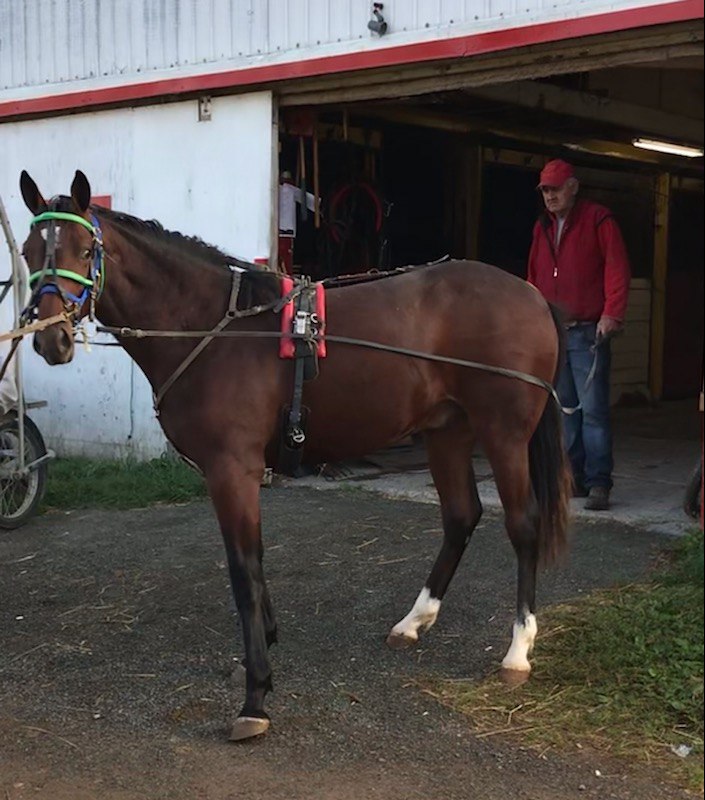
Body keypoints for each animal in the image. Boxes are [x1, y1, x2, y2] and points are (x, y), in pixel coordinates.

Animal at [19, 169, 571, 742]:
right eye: (28, 251)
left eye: (86, 250)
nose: (51, 339)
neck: (215, 328)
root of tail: (531, 295)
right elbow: (256, 561)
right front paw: (263, 647)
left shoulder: (232, 469)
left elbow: (243, 569)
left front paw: (256, 696)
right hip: (447, 432)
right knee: (461, 516)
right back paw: (413, 621)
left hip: (504, 434)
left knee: (522, 525)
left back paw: (517, 652)